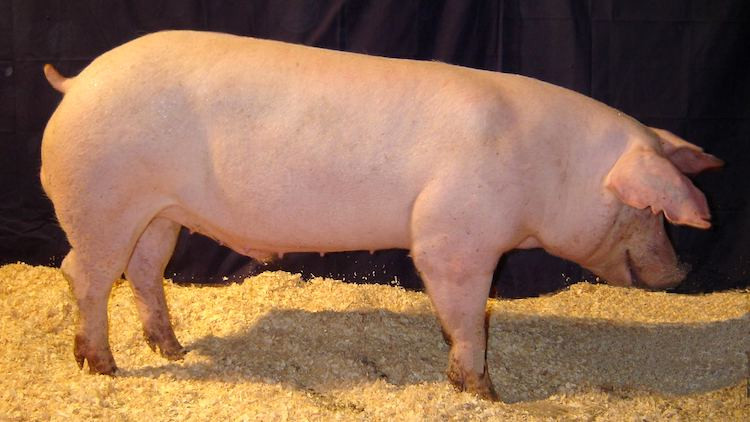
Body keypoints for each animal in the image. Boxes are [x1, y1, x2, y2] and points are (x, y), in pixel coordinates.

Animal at [40, 30, 722, 400]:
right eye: (649, 210)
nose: (683, 271)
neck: (548, 169)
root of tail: (77, 83)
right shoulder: (452, 235)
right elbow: (466, 313)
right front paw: (486, 392)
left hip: (158, 212)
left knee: (144, 270)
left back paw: (173, 350)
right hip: (100, 201)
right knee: (83, 274)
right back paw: (104, 366)